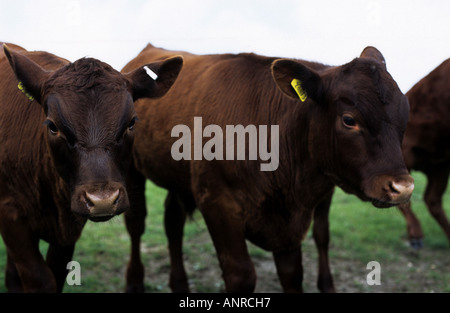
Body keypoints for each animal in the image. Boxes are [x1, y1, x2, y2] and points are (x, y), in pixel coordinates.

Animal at [0, 42, 183, 292]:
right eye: (52, 126)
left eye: (132, 123)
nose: (103, 200)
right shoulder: (10, 215)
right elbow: (40, 278)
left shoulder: (67, 230)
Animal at [121, 42, 414, 292]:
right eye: (349, 119)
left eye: (405, 113)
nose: (403, 187)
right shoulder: (216, 203)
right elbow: (241, 274)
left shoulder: (289, 224)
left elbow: (292, 272)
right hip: (131, 171)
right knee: (136, 223)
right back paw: (134, 282)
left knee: (173, 222)